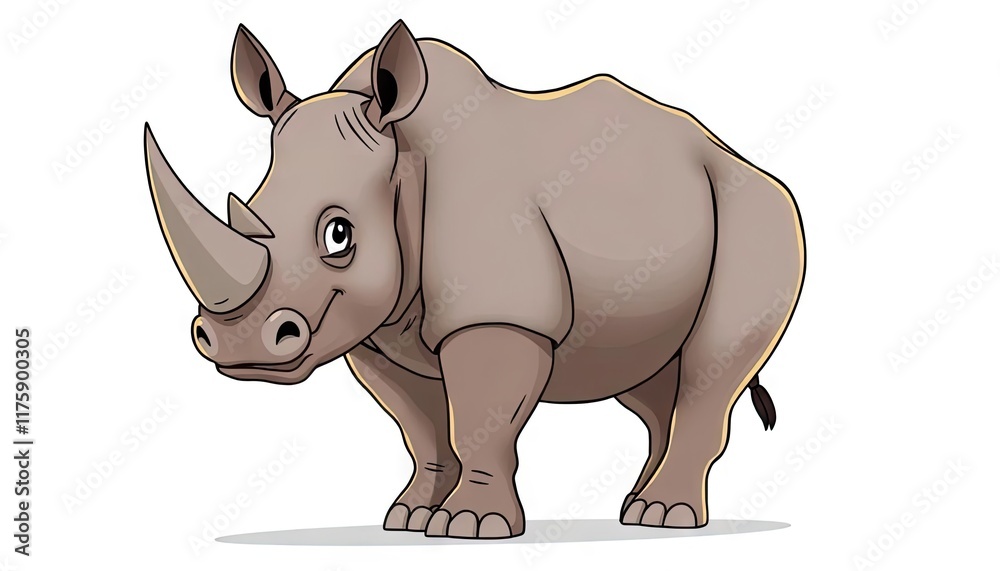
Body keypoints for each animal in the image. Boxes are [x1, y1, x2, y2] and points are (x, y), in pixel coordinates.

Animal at [144, 21, 805, 539]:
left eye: (338, 236)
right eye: (248, 211)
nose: (237, 344)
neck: (404, 163)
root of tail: (733, 154)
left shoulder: (498, 312)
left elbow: (480, 421)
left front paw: (471, 527)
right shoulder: (376, 335)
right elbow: (422, 428)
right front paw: (409, 519)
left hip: (763, 216)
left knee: (711, 362)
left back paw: (666, 518)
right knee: (649, 379)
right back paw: (638, 509)